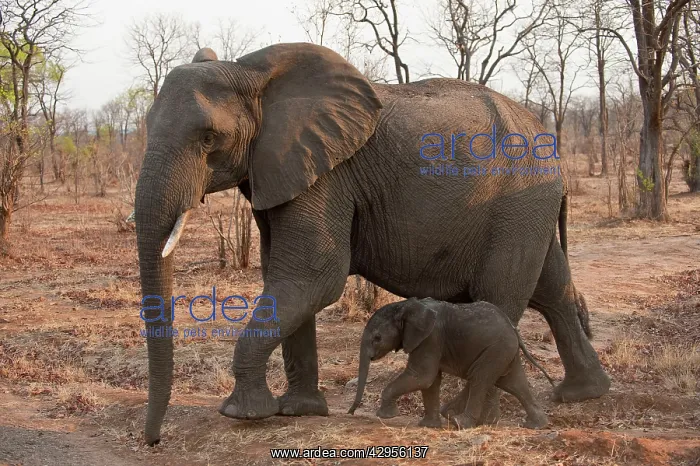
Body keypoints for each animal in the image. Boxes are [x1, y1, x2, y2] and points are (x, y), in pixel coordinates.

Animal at [347, 298, 552, 429]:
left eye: (377, 338)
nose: (351, 413)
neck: (405, 305)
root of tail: (513, 327)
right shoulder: (430, 342)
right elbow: (430, 382)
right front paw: (428, 426)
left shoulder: (430, 339)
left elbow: (422, 376)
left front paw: (385, 416)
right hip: (504, 350)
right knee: (512, 382)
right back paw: (537, 425)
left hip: (496, 349)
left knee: (480, 379)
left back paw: (459, 423)